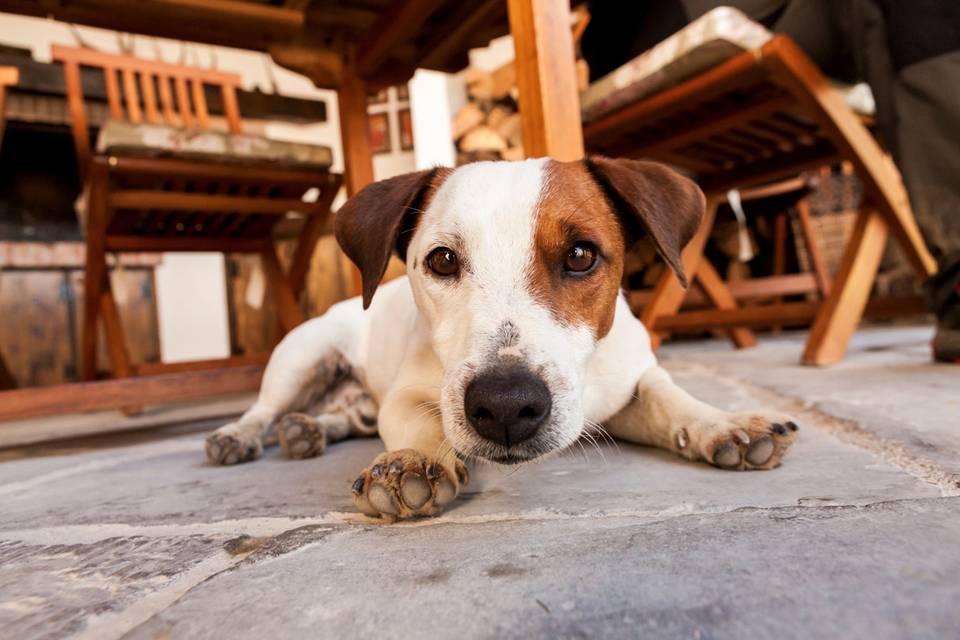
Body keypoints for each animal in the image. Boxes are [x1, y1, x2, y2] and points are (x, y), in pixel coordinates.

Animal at [206, 156, 800, 520]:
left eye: (581, 255)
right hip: (301, 354)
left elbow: (666, 398)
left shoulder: (624, 384)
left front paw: (722, 424)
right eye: (442, 260)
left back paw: (308, 429)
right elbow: (420, 422)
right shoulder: (406, 396)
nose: (507, 406)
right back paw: (242, 435)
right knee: (264, 409)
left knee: (345, 415)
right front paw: (410, 462)